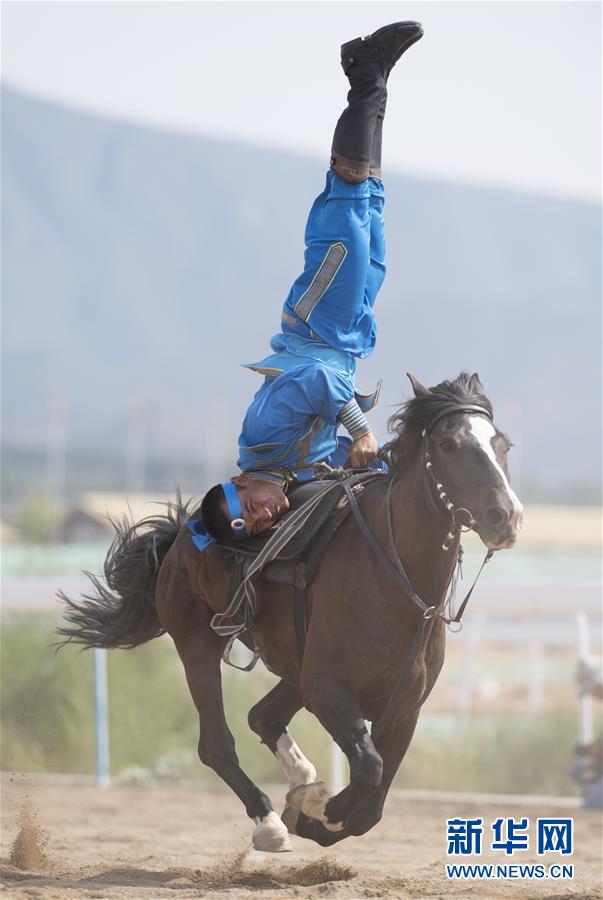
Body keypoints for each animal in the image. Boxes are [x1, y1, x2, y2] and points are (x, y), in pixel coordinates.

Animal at [60, 372, 524, 852]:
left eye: (502, 443)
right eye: (448, 444)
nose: (505, 516)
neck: (394, 581)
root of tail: (180, 537)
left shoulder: (404, 709)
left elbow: (371, 806)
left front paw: (314, 809)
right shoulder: (328, 688)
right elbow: (368, 769)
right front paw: (318, 811)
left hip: (293, 669)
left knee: (262, 717)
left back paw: (302, 782)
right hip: (199, 647)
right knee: (216, 743)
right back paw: (269, 820)